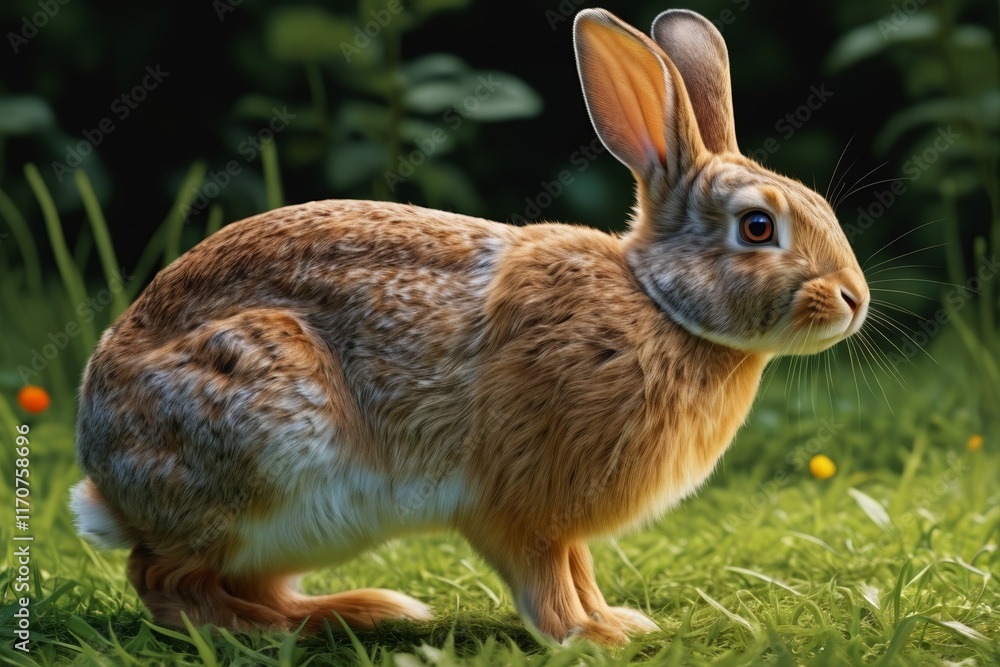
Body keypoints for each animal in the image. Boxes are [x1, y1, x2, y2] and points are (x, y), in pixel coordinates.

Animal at [70, 7, 868, 645]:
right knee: (164, 580)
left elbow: (579, 567)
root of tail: (104, 476)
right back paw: (269, 631)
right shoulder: (519, 502)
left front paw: (617, 619)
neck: (659, 304)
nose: (854, 299)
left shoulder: (561, 519)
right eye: (758, 227)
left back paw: (356, 610)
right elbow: (545, 575)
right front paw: (588, 636)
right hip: (266, 447)